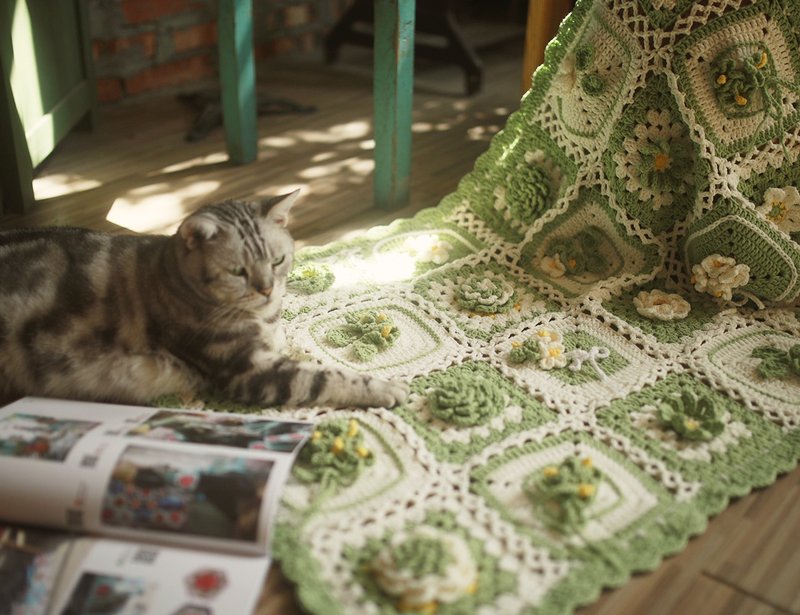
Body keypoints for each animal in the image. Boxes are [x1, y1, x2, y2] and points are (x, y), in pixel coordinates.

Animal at [0, 192, 410, 410]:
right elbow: (324, 376)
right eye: (237, 272)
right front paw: (385, 388)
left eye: (278, 260)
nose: (267, 289)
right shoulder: (248, 370)